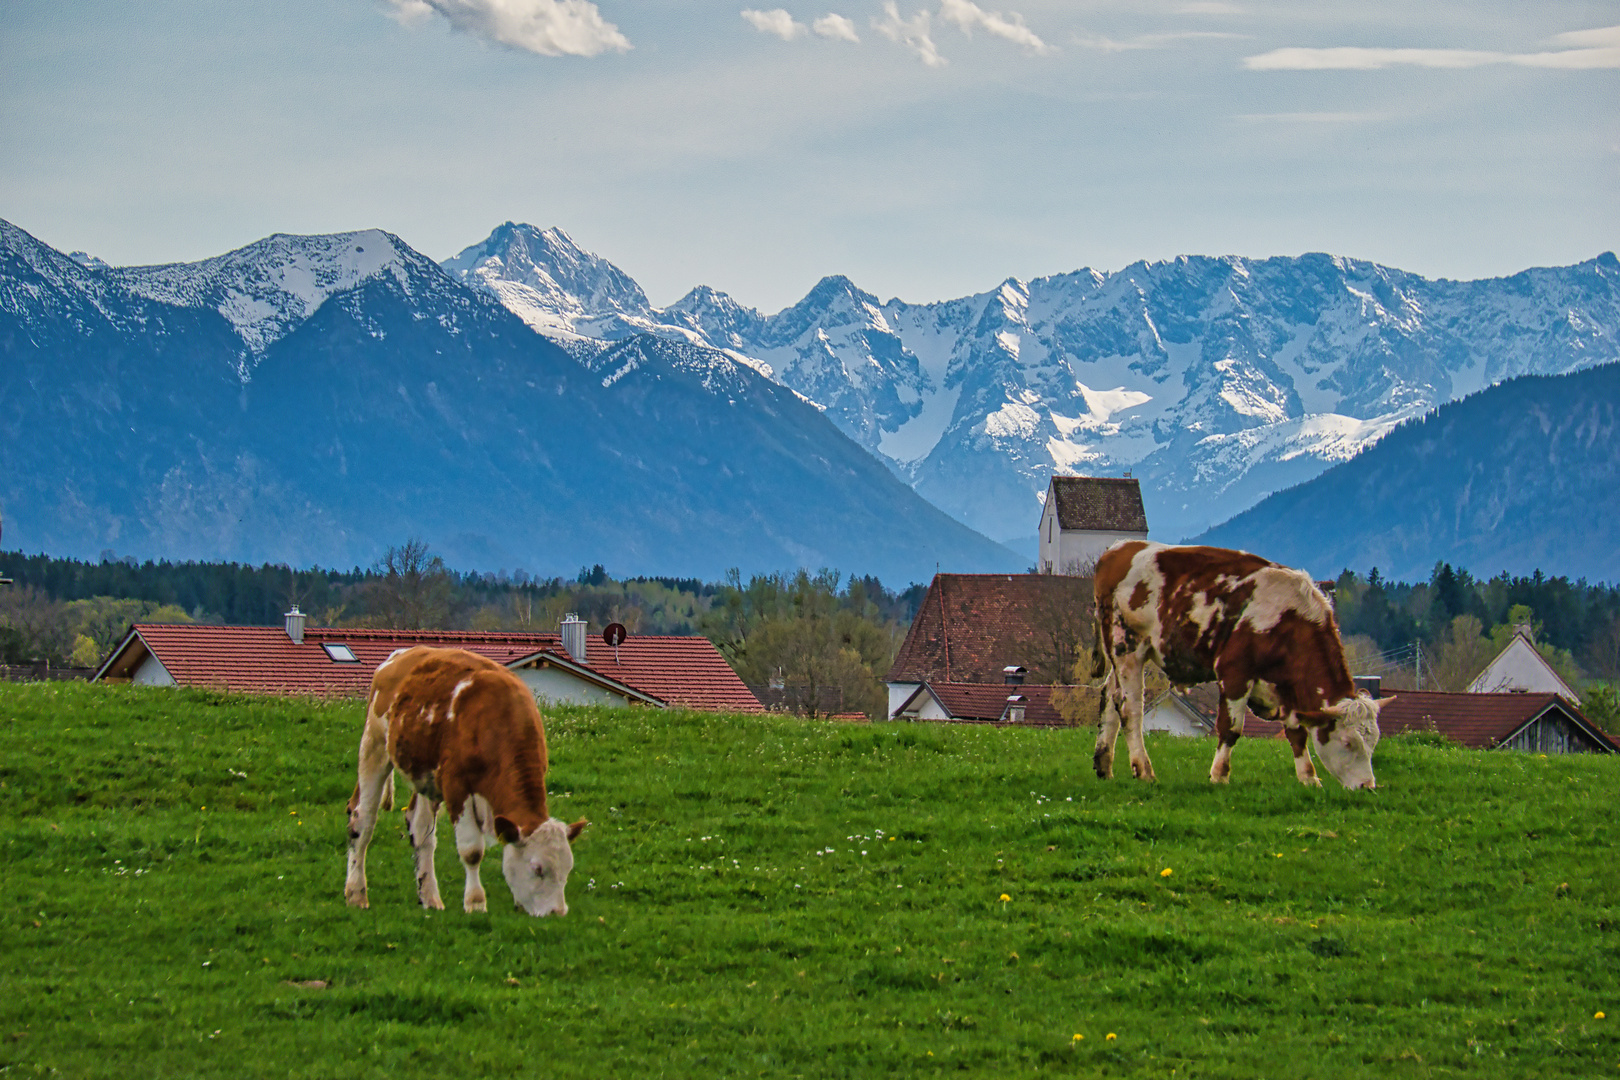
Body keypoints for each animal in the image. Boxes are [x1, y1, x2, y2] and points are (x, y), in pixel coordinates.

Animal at [343, 647, 589, 919]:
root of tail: (401, 654)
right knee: (362, 820)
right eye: (537, 869)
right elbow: (472, 851)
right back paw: (356, 893)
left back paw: (430, 897)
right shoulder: (457, 787)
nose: (558, 912)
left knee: (420, 829)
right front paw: (475, 902)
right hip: (374, 745)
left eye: (567, 870)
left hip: (425, 776)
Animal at [1095, 544, 1386, 790]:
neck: (1289, 622)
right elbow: (1230, 728)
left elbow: (1297, 732)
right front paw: (1219, 775)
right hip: (1128, 649)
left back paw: (1104, 766)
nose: (1368, 786)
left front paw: (1309, 777)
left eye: (1373, 742)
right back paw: (1143, 770)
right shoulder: (1235, 672)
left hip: (1119, 655)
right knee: (1130, 708)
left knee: (1110, 698)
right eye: (1348, 743)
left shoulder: (1287, 688)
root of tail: (1119, 549)